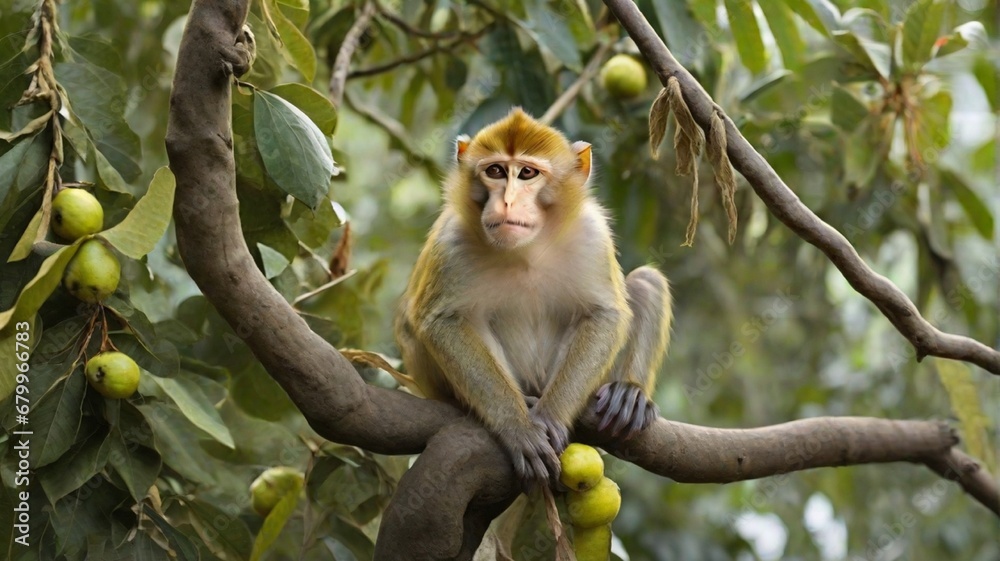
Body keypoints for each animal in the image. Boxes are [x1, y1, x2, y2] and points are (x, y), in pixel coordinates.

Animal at [395, 108, 672, 485]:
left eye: (527, 172)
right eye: (495, 171)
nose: (507, 201)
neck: (528, 249)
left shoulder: (592, 235)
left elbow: (604, 313)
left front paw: (552, 416)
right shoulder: (450, 242)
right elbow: (441, 322)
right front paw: (518, 428)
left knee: (645, 281)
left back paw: (628, 394)